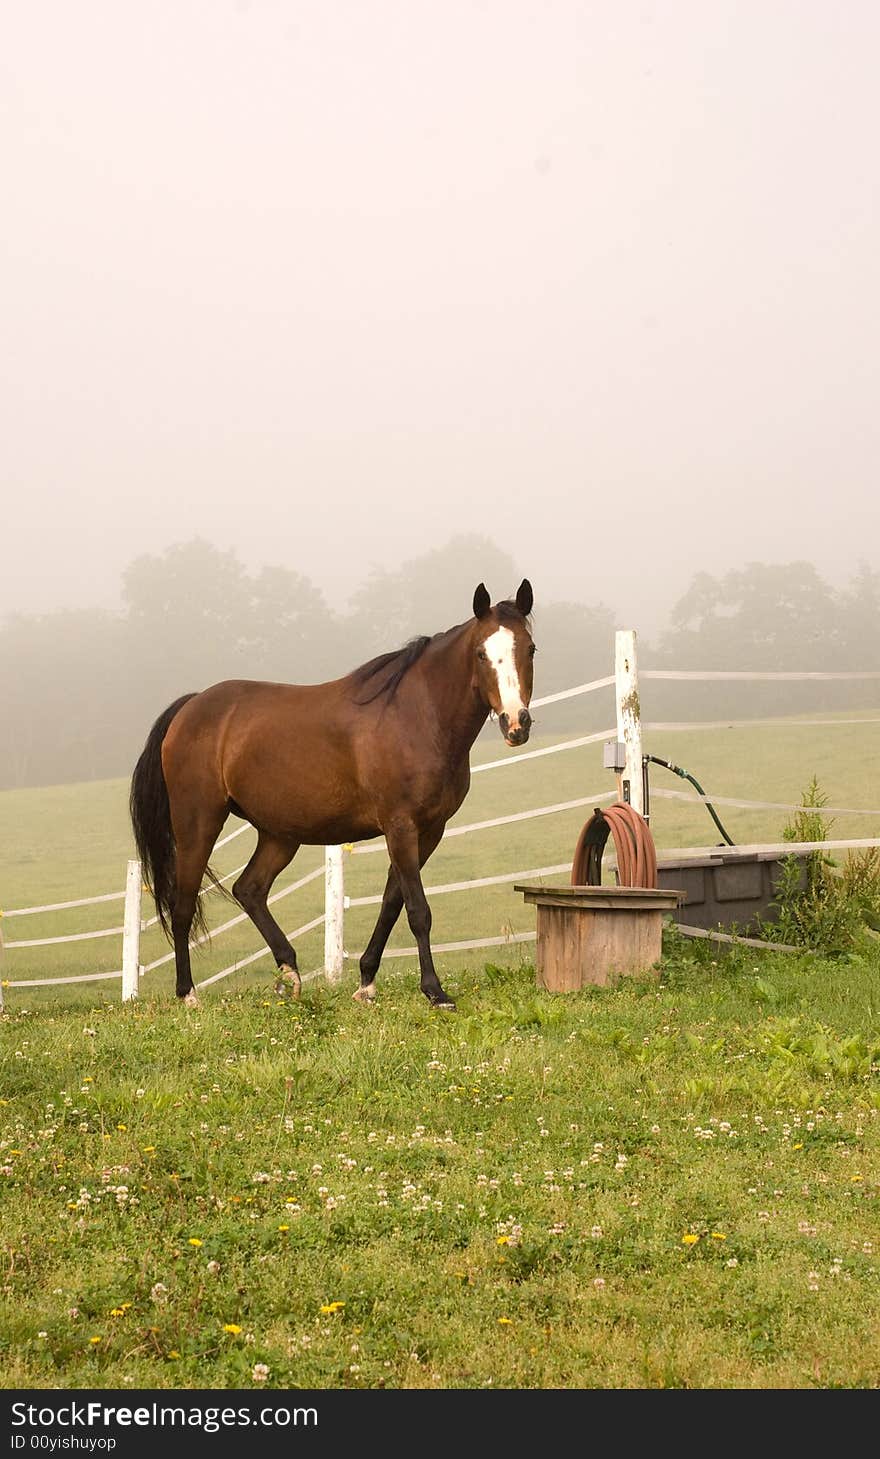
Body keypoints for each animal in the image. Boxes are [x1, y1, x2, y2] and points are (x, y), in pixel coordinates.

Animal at [127, 577, 534, 1003]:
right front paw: (435, 992)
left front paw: (366, 982)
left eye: (530, 649)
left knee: (249, 889)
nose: (516, 723)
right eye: (481, 654)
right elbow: (418, 911)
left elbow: (392, 902)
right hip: (199, 824)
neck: (417, 716)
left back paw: (289, 972)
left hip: (278, 834)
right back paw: (188, 994)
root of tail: (190, 707)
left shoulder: (428, 830)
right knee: (183, 904)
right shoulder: (400, 826)